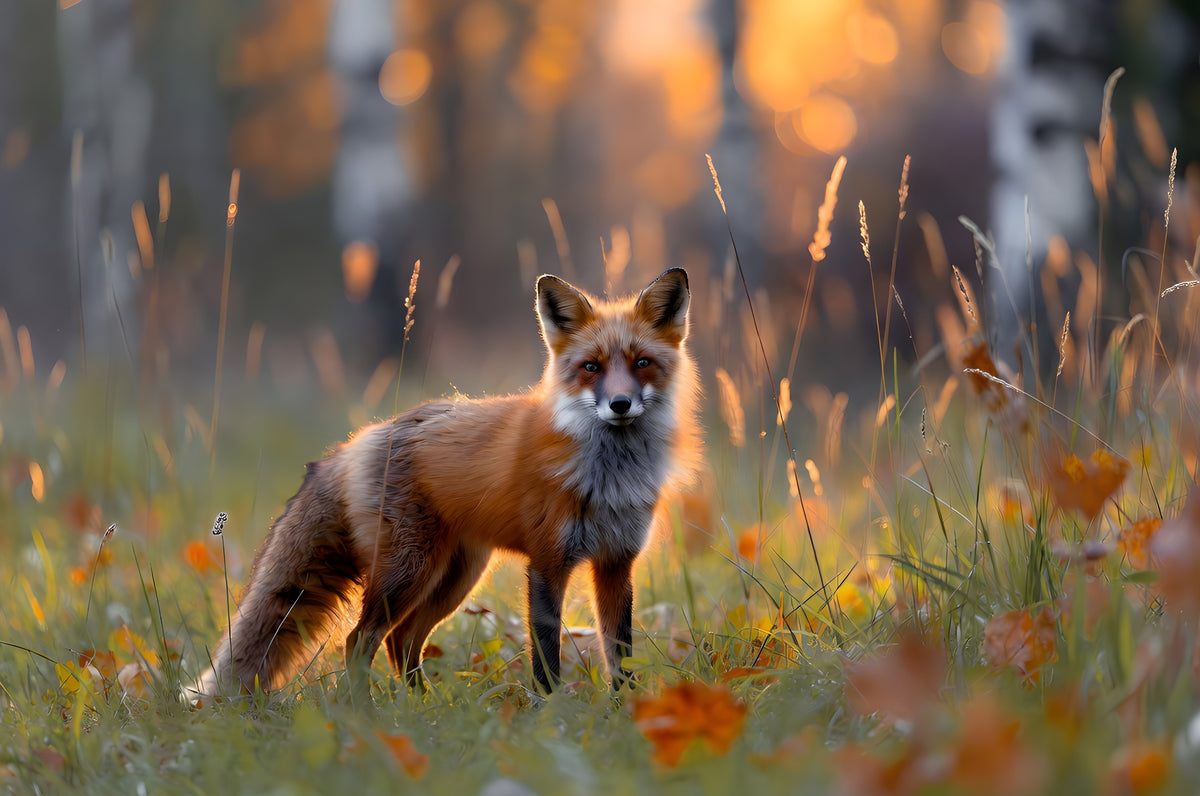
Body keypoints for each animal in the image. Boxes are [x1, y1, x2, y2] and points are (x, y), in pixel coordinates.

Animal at [191, 267, 700, 698]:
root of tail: (361, 439)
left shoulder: (616, 563)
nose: (619, 404)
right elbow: (547, 658)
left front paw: (626, 714)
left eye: (642, 362)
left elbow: (620, 657)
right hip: (409, 572)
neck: (608, 476)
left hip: (454, 578)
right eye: (591, 367)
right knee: (360, 641)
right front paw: (551, 716)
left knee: (400, 642)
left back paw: (426, 709)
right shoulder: (547, 562)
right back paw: (364, 716)